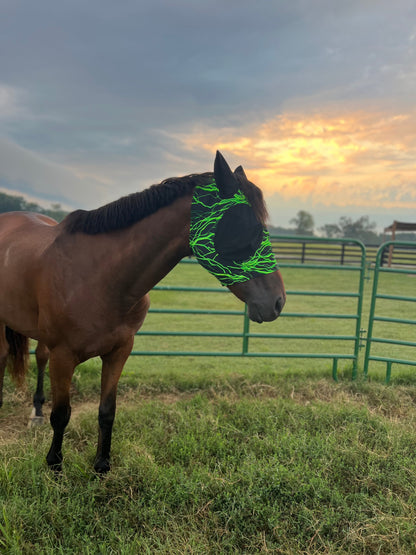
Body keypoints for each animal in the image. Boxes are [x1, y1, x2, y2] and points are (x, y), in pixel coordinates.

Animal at [0, 152, 286, 474]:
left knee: (38, 357)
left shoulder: (120, 351)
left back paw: (36, 410)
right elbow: (61, 414)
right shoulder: (64, 357)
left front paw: (102, 466)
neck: (97, 277)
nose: (277, 301)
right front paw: (55, 466)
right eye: (245, 225)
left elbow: (107, 410)